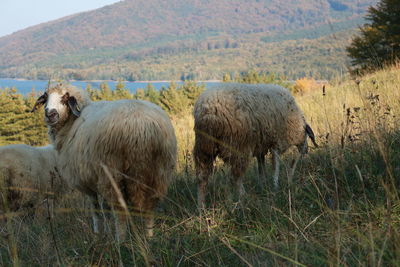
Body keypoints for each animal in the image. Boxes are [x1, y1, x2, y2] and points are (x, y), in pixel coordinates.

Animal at [33, 84, 177, 239]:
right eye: (46, 98)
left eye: (65, 98)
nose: (50, 114)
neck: (71, 122)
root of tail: (142, 130)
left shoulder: (89, 182)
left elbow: (97, 210)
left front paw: (98, 234)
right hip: (158, 173)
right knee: (149, 209)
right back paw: (149, 237)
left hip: (112, 174)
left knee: (120, 212)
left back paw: (120, 240)